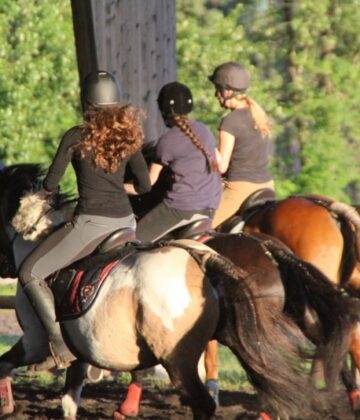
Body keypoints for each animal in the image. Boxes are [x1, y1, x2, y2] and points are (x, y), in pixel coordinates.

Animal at [0, 163, 344, 420]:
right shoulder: (80, 347)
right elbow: (70, 397)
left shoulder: (36, 340)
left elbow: (6, 364)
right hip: (256, 334)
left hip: (184, 357)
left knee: (209, 401)